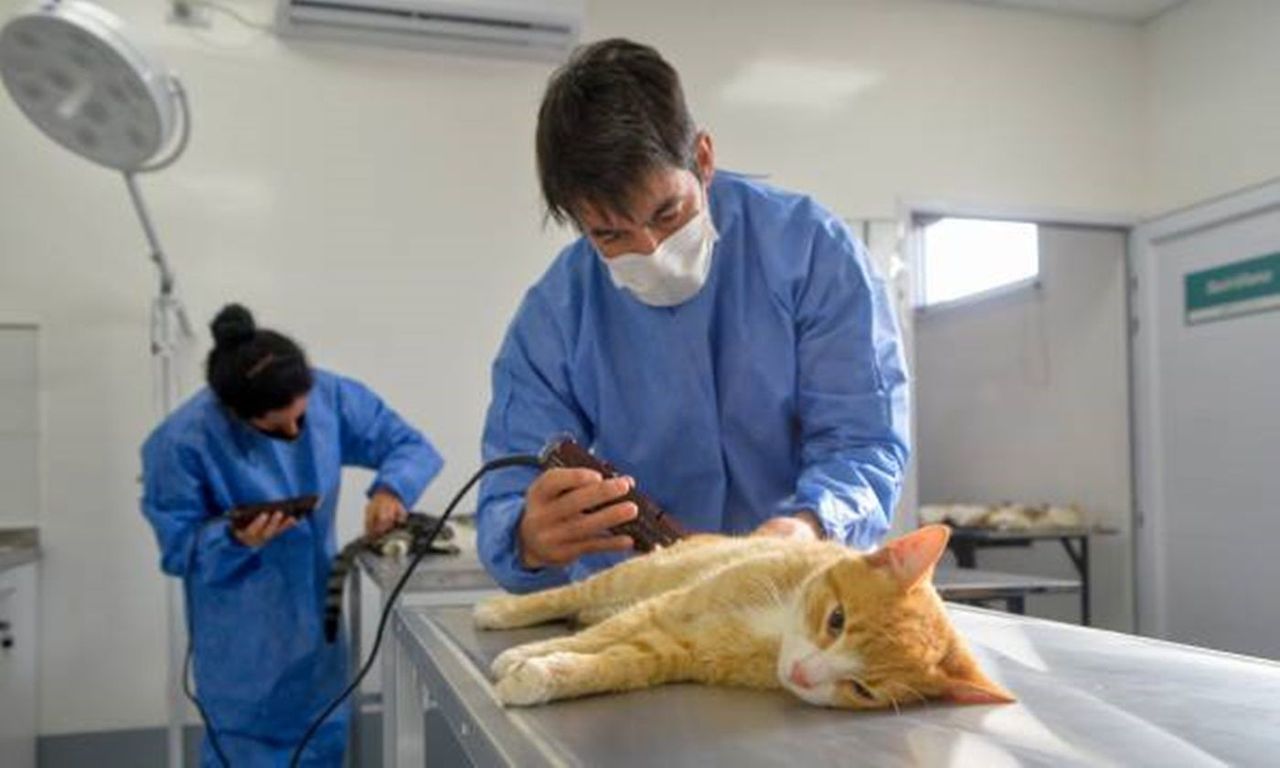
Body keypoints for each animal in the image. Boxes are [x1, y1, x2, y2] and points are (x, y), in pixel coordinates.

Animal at [476, 522, 1013, 706]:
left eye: (863, 690)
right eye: (836, 621)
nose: (803, 674)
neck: (771, 637)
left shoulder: (673, 650)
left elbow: (614, 664)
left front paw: (543, 675)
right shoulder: (671, 606)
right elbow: (599, 637)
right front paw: (526, 655)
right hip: (637, 577)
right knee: (570, 595)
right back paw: (502, 611)